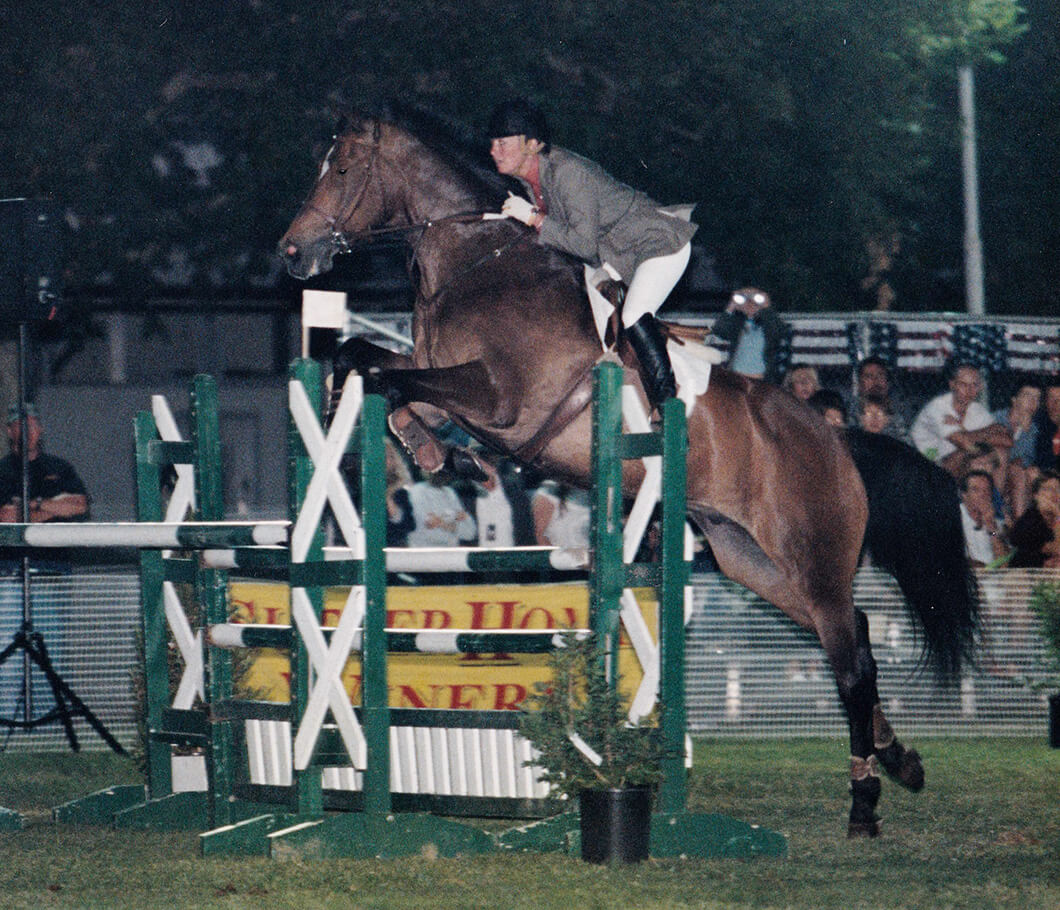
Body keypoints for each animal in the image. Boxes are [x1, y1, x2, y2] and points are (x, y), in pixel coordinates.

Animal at [279, 102, 975, 831]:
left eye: (343, 169)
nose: (293, 253)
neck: (475, 260)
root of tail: (836, 439)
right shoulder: (451, 378)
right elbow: (370, 362)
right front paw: (433, 449)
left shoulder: (500, 400)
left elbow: (382, 371)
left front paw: (437, 447)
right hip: (752, 561)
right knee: (855, 636)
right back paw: (901, 761)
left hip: (812, 556)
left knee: (849, 661)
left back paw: (865, 801)